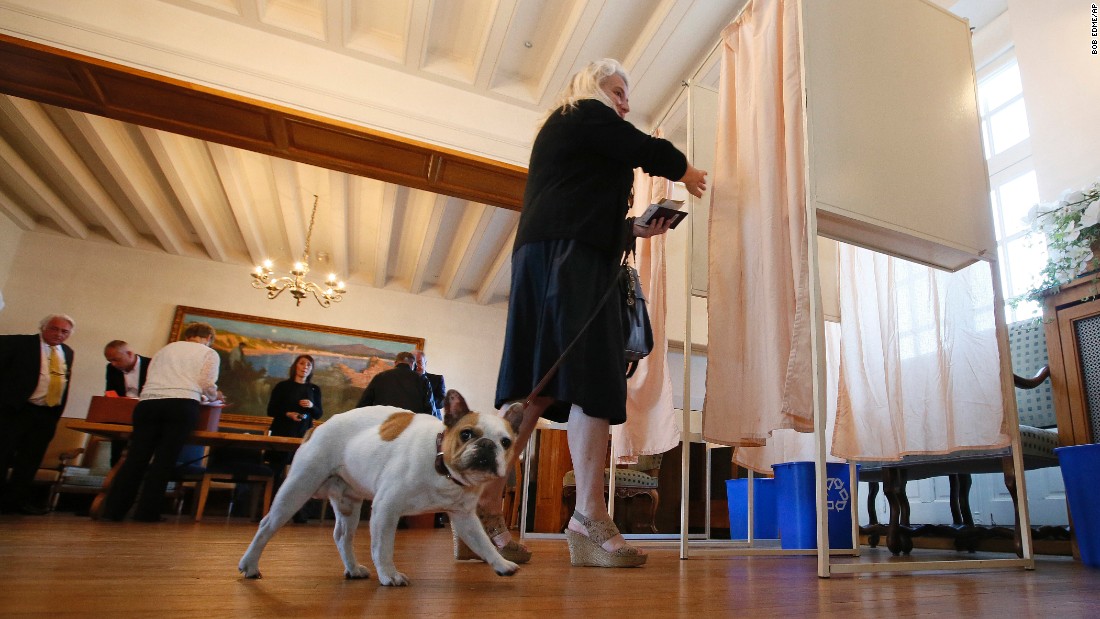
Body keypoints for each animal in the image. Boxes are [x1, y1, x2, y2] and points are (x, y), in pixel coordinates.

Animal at [240, 391, 523, 584]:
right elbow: (383, 547)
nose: (487, 445)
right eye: (466, 434)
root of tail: (318, 428)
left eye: (506, 442)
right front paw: (389, 575)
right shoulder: (387, 509)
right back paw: (250, 565)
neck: (441, 465)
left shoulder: (464, 518)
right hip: (298, 488)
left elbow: (483, 542)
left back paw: (353, 569)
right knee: (266, 525)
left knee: (342, 536)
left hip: (348, 504)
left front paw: (501, 563)